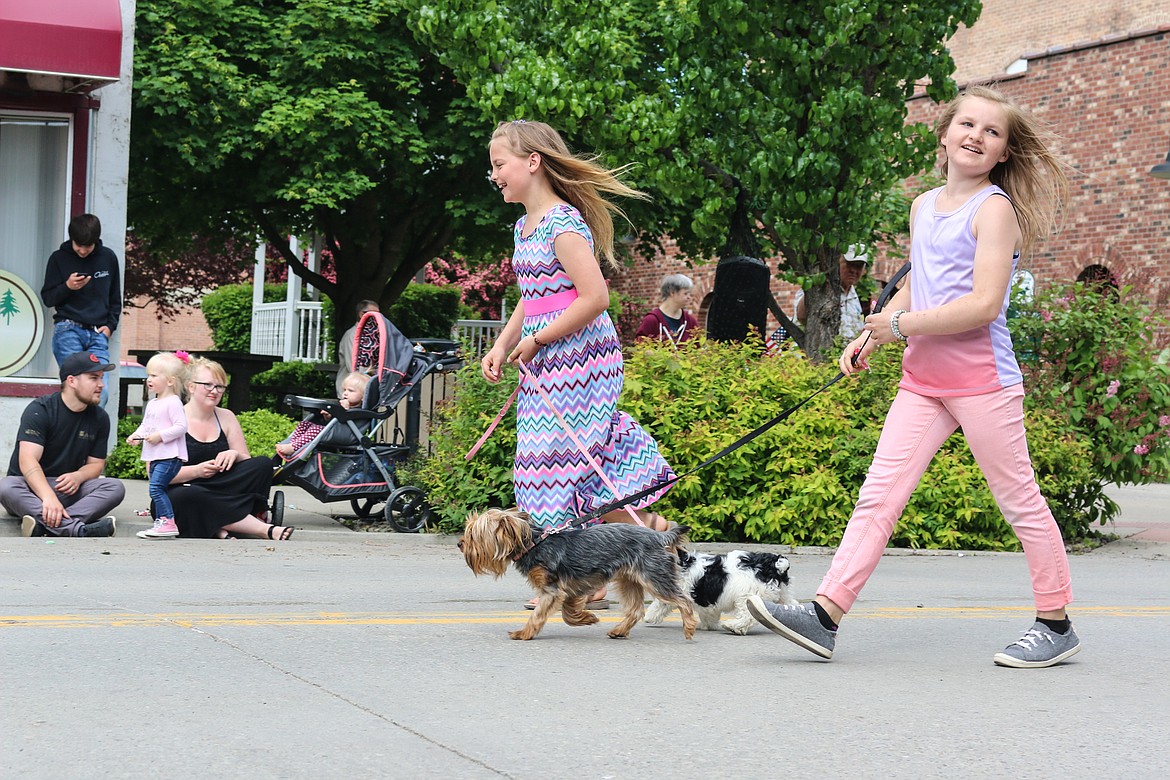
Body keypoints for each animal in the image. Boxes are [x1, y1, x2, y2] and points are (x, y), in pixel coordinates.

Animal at [645, 549, 800, 636]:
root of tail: (776, 565)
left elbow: (663, 603)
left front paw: (648, 616)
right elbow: (663, 604)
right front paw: (650, 616)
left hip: (749, 595)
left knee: (748, 616)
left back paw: (733, 626)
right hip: (781, 594)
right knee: (791, 605)